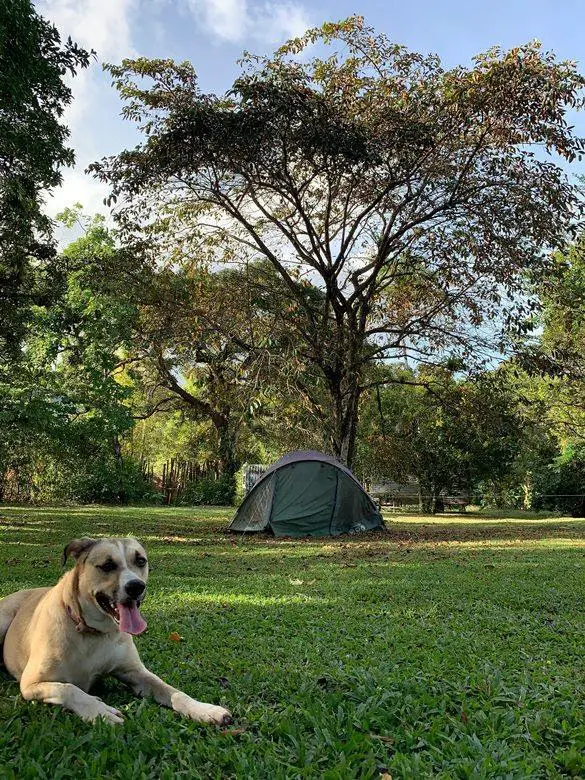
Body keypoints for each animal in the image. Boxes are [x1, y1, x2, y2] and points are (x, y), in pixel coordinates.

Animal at [0, 536, 233, 724]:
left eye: (141, 561)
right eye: (107, 565)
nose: (136, 586)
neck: (93, 633)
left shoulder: (137, 673)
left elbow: (174, 691)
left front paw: (204, 709)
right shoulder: (31, 683)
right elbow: (68, 689)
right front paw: (99, 711)